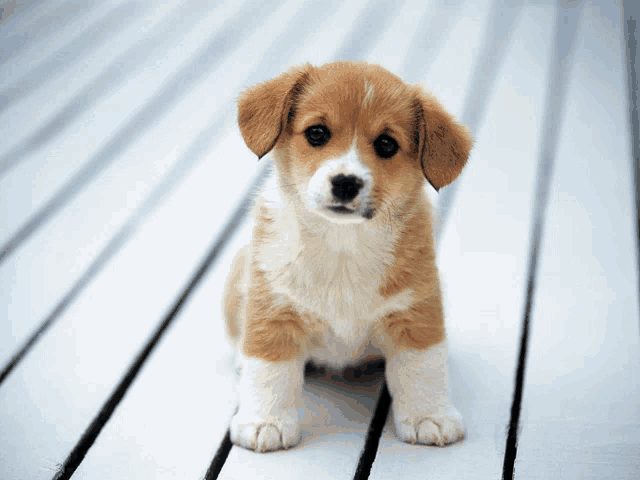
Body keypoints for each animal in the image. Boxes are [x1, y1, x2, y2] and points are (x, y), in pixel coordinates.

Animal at [222, 62, 472, 452]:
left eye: (386, 144)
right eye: (317, 133)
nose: (345, 182)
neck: (342, 243)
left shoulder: (416, 311)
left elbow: (421, 369)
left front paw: (429, 416)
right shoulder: (274, 310)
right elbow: (269, 373)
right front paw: (265, 422)